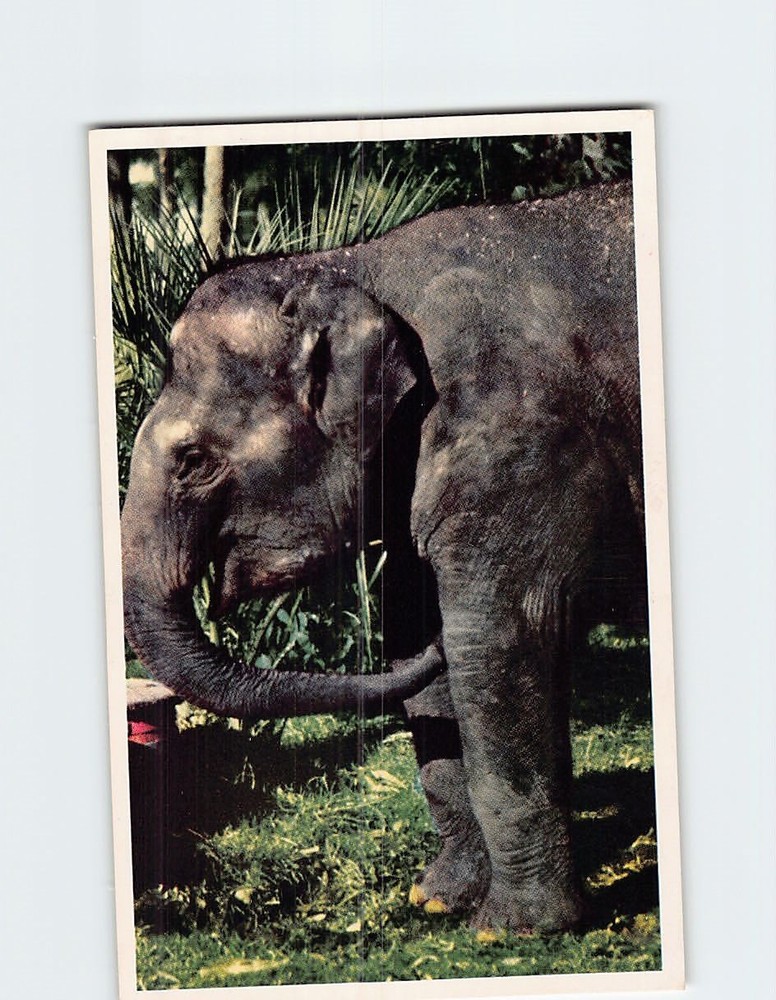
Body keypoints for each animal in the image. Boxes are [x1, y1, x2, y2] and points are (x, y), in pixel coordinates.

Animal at [121, 180, 648, 933]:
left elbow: (494, 637)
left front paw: (511, 931)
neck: (356, 267)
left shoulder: (518, 442)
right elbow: (416, 641)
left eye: (194, 461)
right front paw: (438, 899)